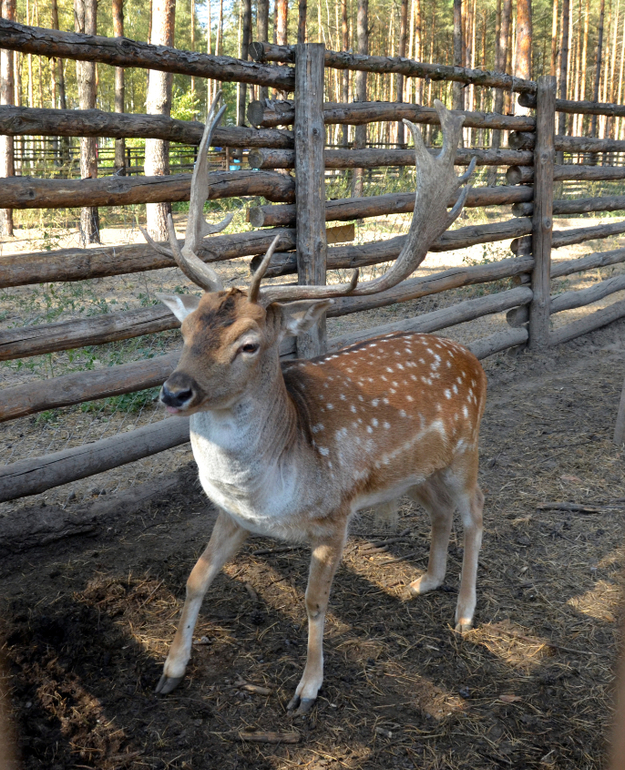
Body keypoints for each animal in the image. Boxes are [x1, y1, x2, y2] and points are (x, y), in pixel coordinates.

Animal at [143, 94, 488, 712]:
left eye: (250, 343)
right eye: (184, 331)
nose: (175, 392)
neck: (275, 488)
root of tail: (471, 357)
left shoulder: (334, 519)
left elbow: (313, 602)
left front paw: (306, 689)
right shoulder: (230, 515)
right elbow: (195, 577)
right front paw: (171, 669)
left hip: (465, 451)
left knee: (477, 510)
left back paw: (465, 612)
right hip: (416, 470)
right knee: (441, 509)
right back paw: (425, 580)